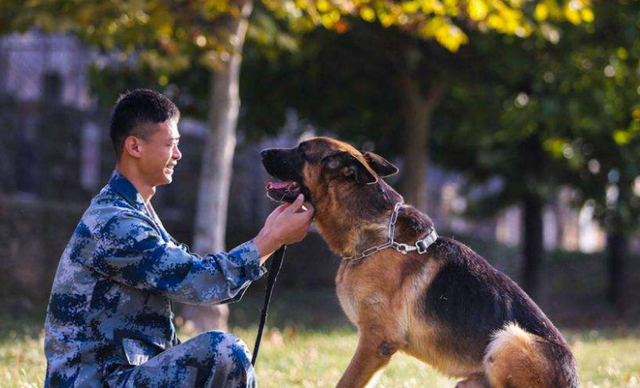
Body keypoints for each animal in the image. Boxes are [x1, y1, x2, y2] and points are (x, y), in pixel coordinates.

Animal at [260, 136, 580, 388]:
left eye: (302, 151)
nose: (262, 152)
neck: (378, 236)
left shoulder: (376, 342)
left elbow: (346, 382)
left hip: (508, 339)